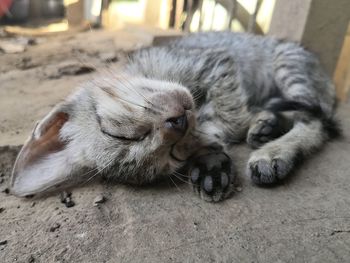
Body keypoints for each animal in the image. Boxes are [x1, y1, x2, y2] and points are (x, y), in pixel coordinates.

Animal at [10, 32, 340, 203]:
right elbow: (217, 133)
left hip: (290, 64)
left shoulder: (215, 61)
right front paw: (210, 162)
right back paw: (268, 127)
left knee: (316, 120)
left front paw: (230, 129)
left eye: (116, 131)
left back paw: (273, 150)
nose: (177, 122)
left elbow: (232, 116)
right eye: (173, 154)